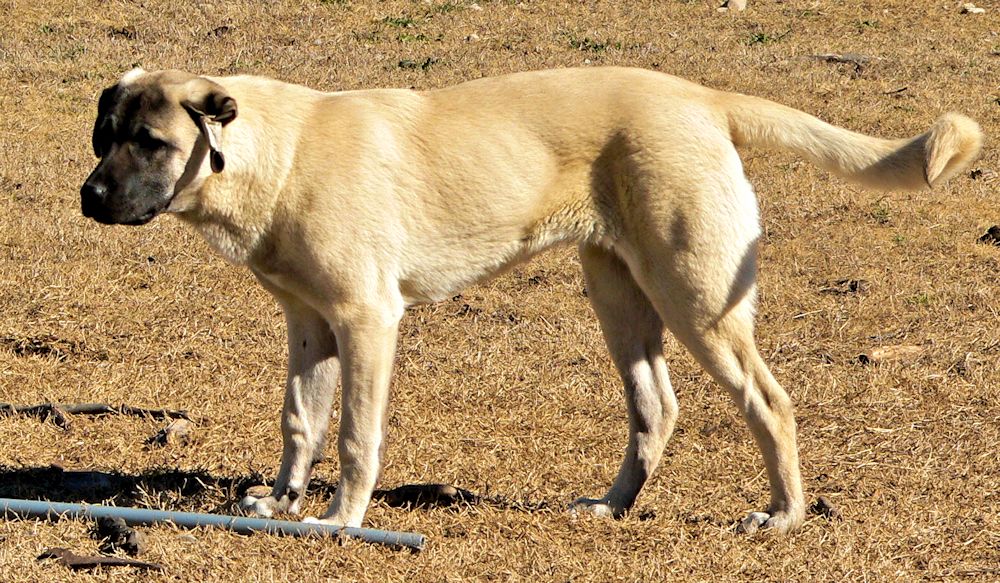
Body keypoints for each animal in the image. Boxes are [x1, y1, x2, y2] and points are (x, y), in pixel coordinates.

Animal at [80, 66, 984, 532]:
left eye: (152, 142)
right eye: (102, 136)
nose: (88, 197)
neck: (279, 151)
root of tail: (702, 96)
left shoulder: (368, 321)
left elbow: (355, 437)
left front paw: (340, 519)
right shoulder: (310, 324)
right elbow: (300, 422)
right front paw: (278, 499)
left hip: (695, 297)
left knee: (770, 400)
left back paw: (784, 513)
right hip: (618, 295)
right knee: (657, 408)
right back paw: (612, 505)